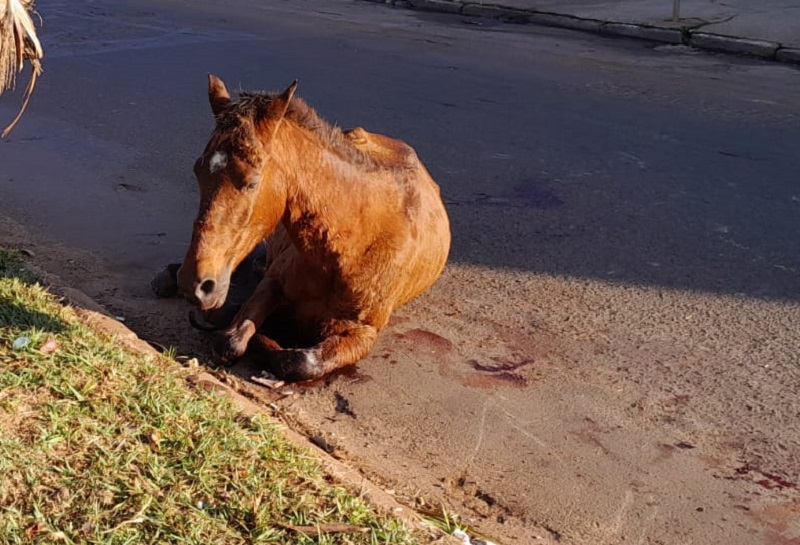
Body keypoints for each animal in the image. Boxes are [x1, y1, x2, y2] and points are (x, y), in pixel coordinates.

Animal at [161, 75, 450, 382]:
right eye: (198, 171)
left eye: (252, 182)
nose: (195, 285)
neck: (354, 248)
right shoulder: (272, 284)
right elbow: (231, 342)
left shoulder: (364, 333)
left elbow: (299, 362)